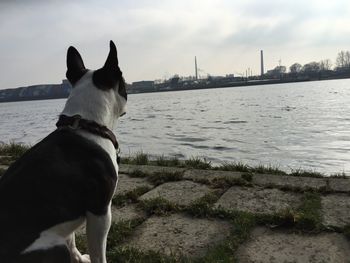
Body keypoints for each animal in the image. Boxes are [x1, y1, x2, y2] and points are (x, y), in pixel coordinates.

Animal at [0, 41, 128, 263]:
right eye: (125, 85)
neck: (87, 124)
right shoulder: (100, 212)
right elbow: (98, 253)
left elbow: (72, 237)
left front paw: (79, 258)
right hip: (52, 245)